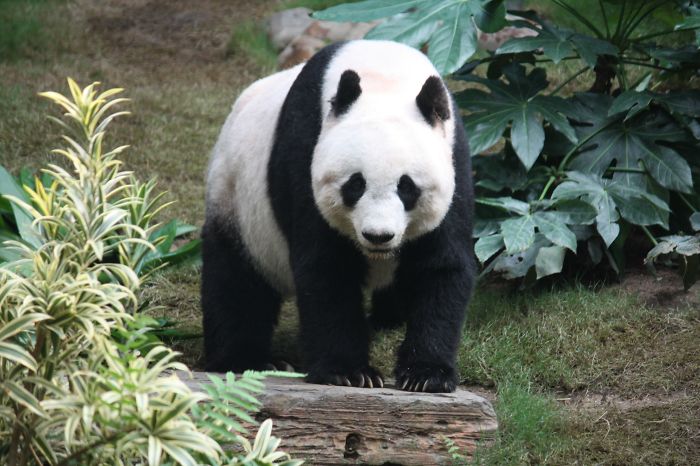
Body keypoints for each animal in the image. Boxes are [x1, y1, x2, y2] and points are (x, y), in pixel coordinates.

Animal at [202, 40, 475, 393]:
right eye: (355, 184)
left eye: (407, 187)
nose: (378, 236)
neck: (385, 76)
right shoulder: (305, 151)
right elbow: (327, 268)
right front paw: (349, 372)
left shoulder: (455, 160)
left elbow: (440, 266)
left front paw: (426, 375)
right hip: (236, 200)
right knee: (236, 281)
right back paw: (247, 359)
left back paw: (387, 319)